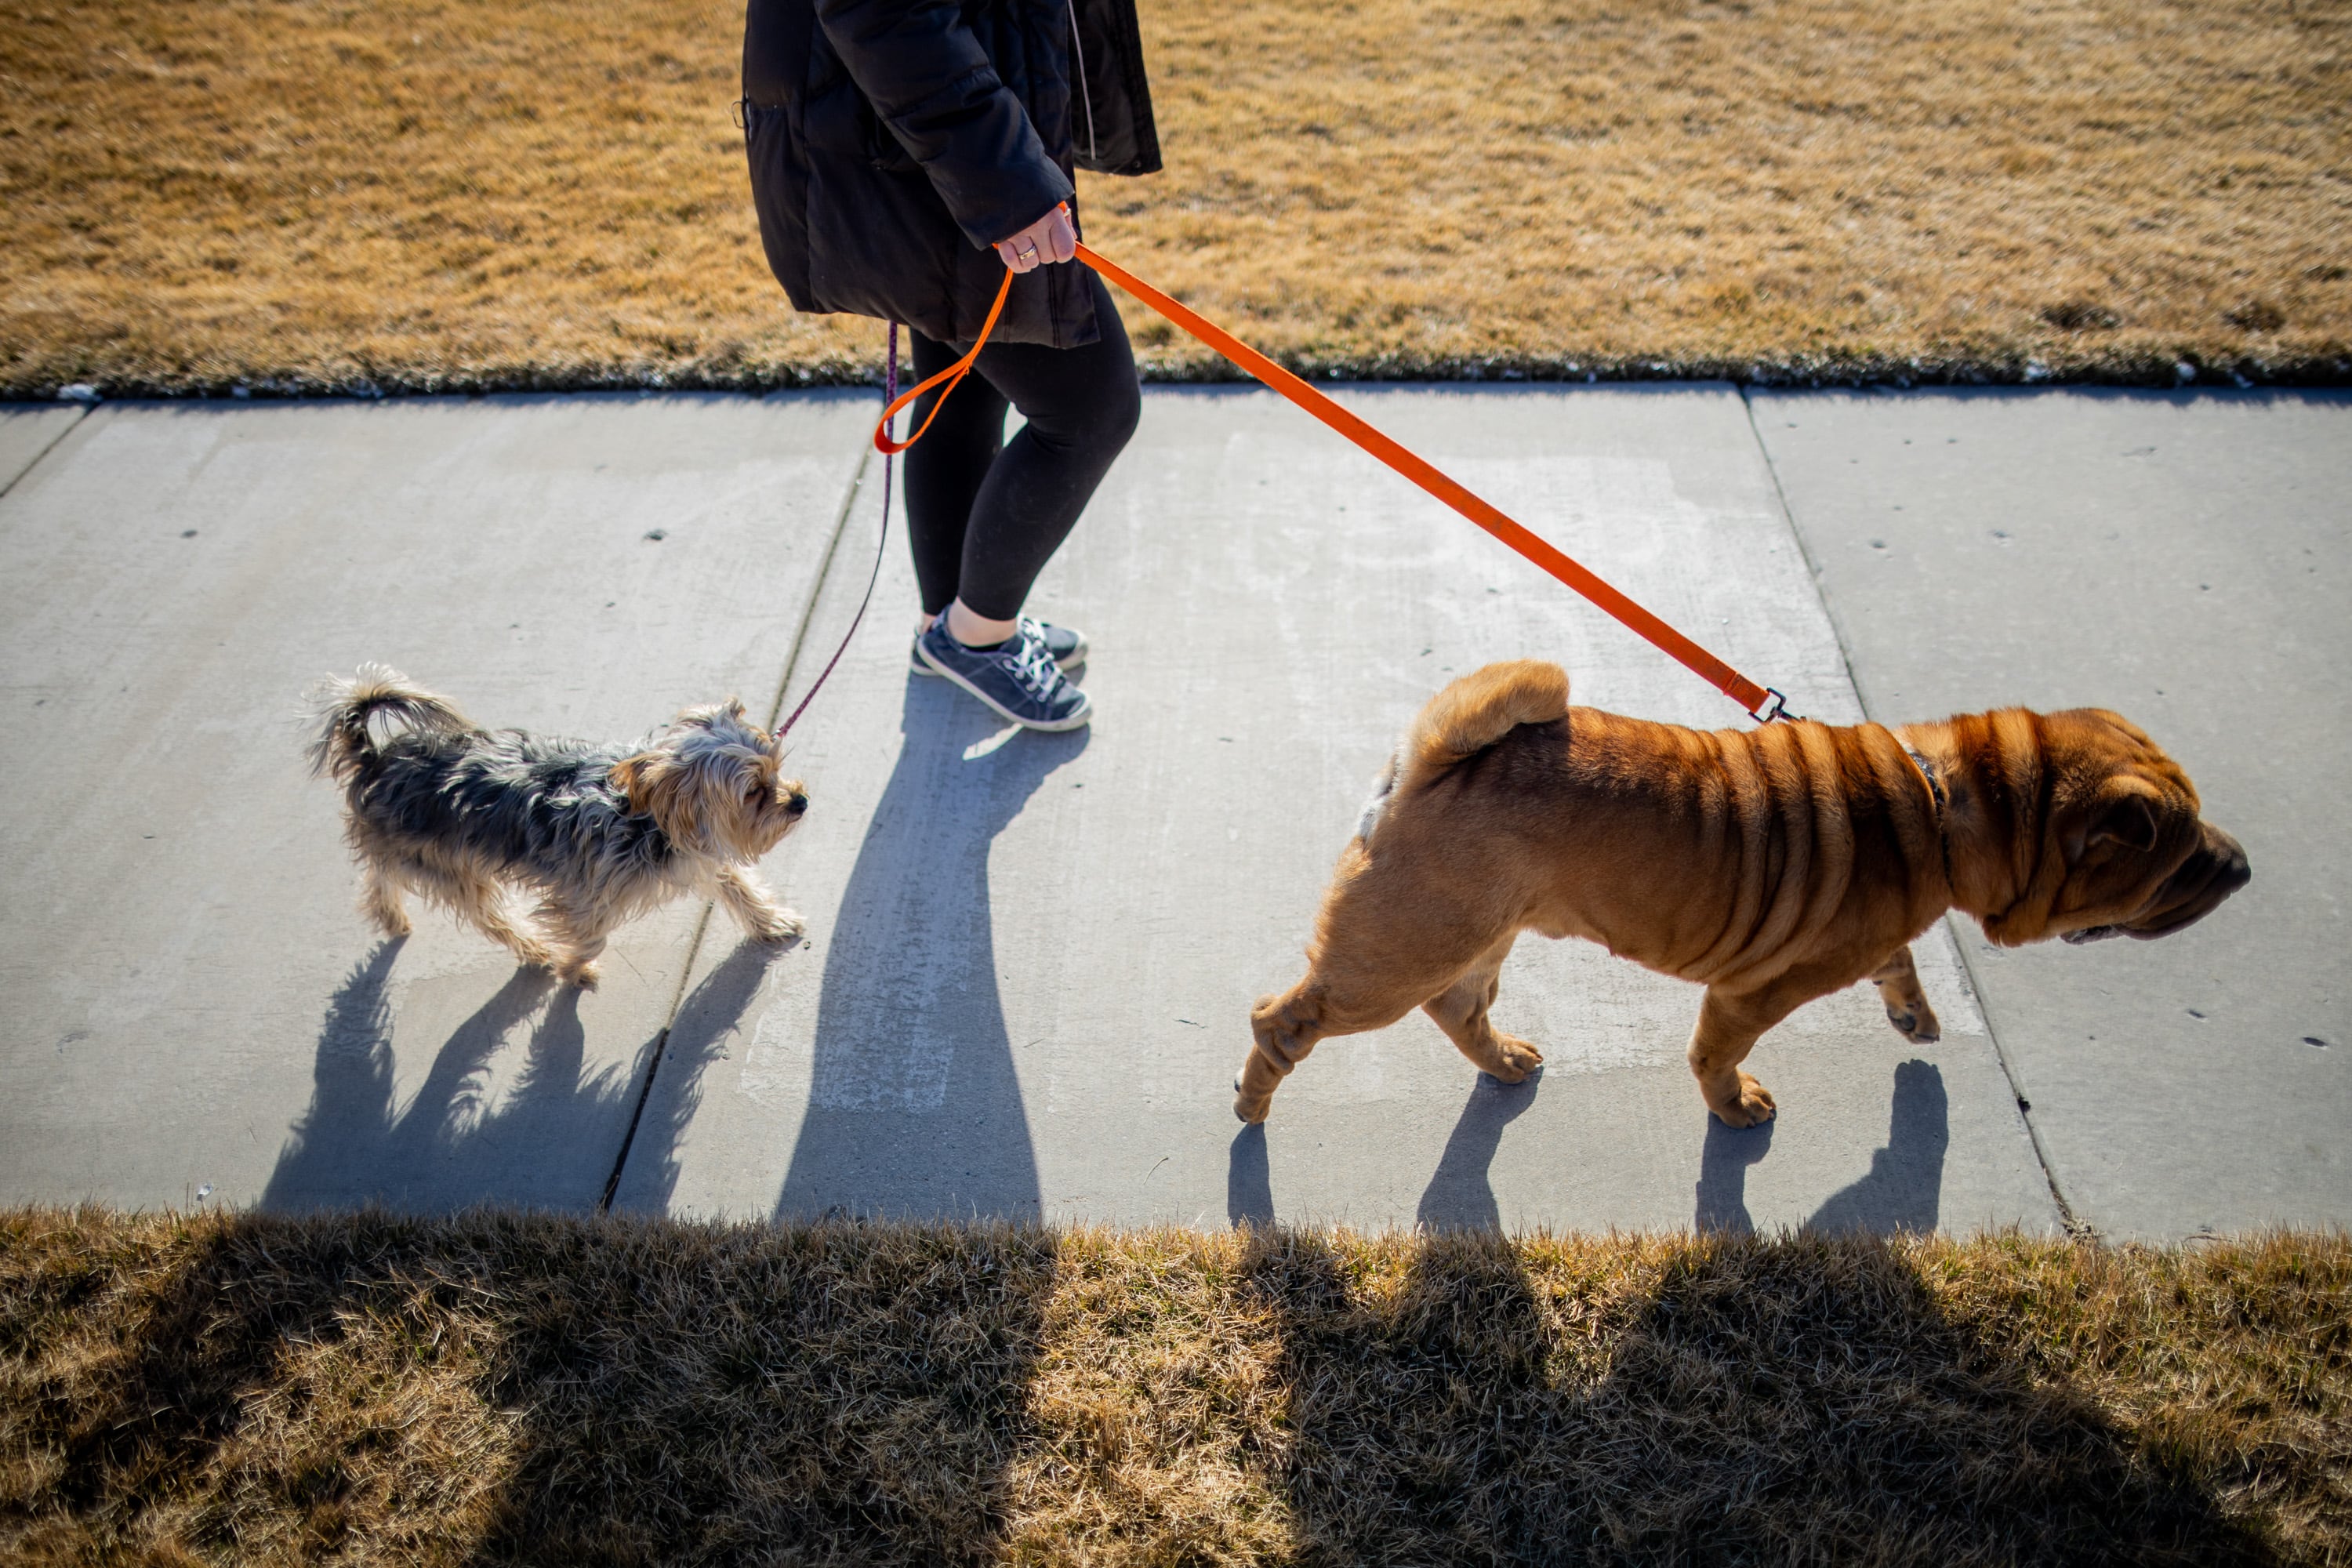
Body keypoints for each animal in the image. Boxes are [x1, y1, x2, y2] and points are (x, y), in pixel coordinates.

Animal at [313, 667, 809, 987]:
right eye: (754, 791)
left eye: (777, 768)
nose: (801, 801)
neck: (650, 818)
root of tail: (375, 759)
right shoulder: (582, 895)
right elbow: (591, 937)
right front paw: (573, 970)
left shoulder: (700, 853)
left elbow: (739, 885)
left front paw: (771, 921)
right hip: (447, 867)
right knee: (486, 915)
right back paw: (535, 950)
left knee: (381, 871)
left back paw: (388, 914)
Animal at [1232, 662, 2239, 1128]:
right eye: (2180, 858)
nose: (2240, 865)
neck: (1942, 798)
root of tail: (1434, 758)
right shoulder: (1753, 992)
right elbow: (1716, 1054)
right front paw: (1734, 1107)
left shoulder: (1868, 940)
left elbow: (1899, 959)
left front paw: (1913, 1015)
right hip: (1395, 957)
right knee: (1284, 1017)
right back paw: (1252, 1104)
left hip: (1479, 933)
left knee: (1459, 1007)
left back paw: (1505, 1060)